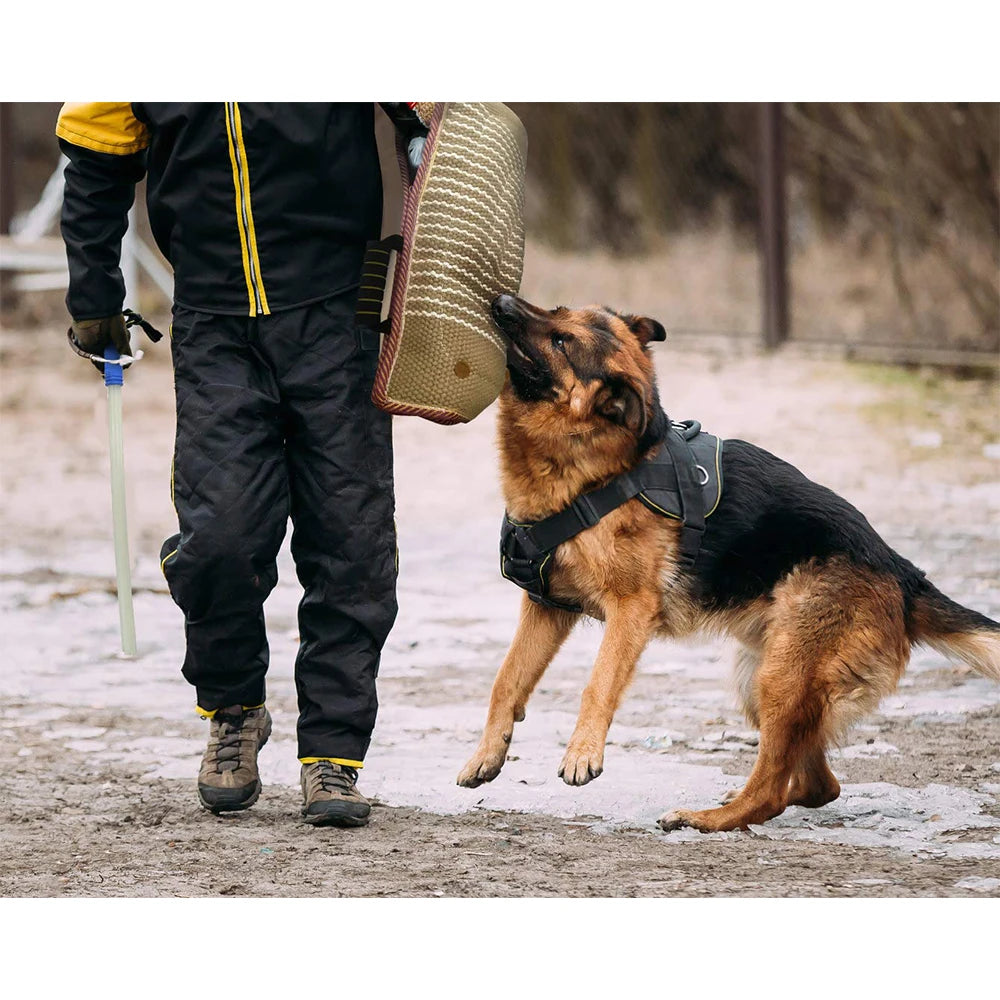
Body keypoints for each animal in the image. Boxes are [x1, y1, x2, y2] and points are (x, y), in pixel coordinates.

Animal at [458, 292, 996, 832]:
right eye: (556, 310)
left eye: (562, 341)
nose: (501, 301)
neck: (596, 468)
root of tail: (901, 571)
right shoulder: (546, 607)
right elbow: (506, 679)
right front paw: (487, 754)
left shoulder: (630, 611)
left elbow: (599, 683)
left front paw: (582, 753)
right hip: (758, 676)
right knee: (817, 784)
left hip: (780, 678)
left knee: (772, 789)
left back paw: (706, 818)